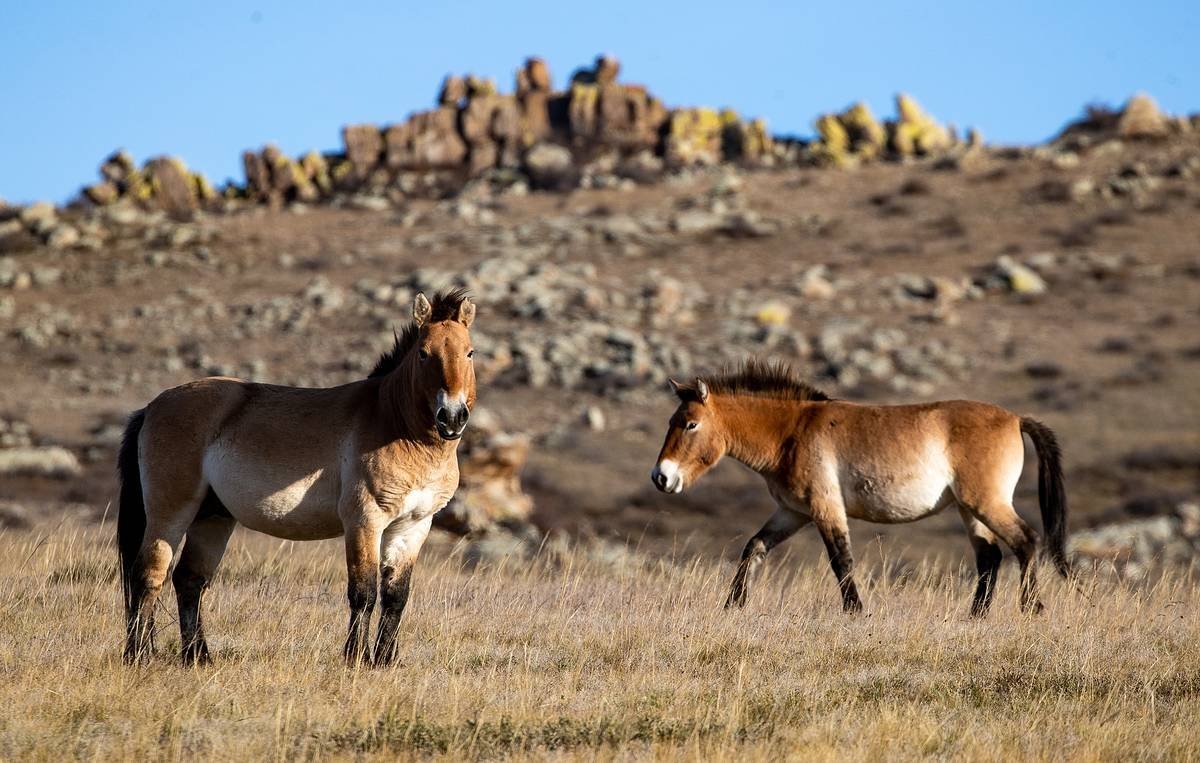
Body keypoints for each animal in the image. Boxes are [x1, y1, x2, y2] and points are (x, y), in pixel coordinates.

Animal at [116, 289, 477, 666]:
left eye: (469, 352)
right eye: (423, 353)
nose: (452, 417)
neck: (396, 425)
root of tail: (151, 407)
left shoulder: (413, 526)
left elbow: (396, 597)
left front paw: (384, 662)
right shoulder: (364, 521)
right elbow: (363, 592)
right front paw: (356, 658)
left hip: (213, 517)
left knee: (189, 580)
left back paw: (199, 657)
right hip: (171, 511)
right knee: (149, 575)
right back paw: (139, 655)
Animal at [650, 360, 1069, 616]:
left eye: (690, 424)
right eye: (670, 421)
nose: (661, 477)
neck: (790, 432)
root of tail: (1015, 418)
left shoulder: (824, 507)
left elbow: (841, 560)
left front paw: (856, 611)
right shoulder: (793, 512)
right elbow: (753, 548)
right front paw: (733, 605)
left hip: (986, 502)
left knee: (1026, 540)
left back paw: (1032, 608)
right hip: (970, 509)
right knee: (990, 557)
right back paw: (976, 616)